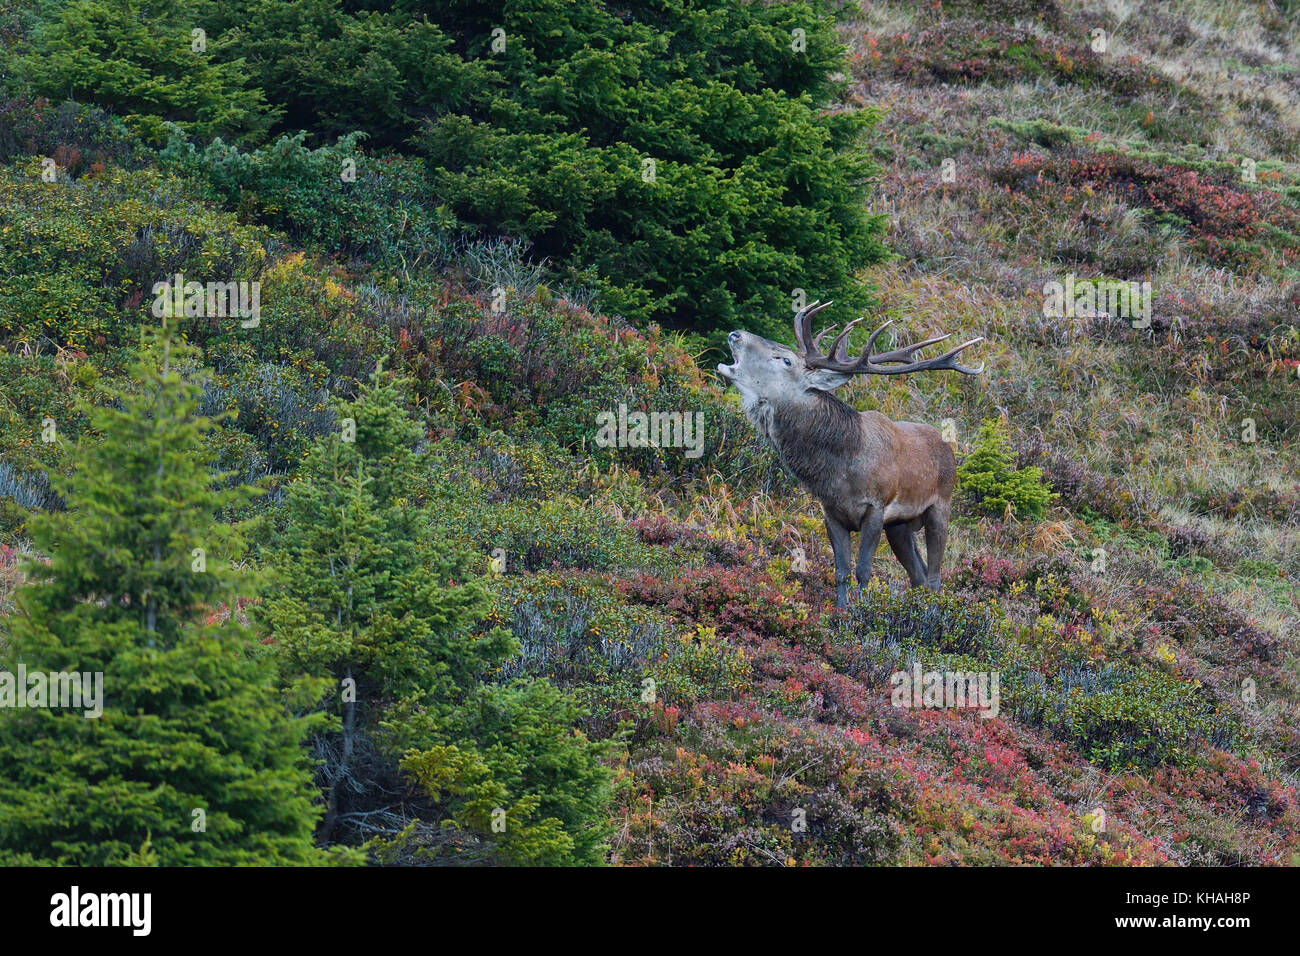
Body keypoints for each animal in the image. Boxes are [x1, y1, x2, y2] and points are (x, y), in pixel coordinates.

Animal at [716, 301, 983, 609]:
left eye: (785, 360)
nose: (736, 334)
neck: (839, 470)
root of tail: (948, 448)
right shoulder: (831, 512)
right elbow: (841, 571)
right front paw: (841, 612)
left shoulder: (876, 507)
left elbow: (863, 570)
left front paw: (863, 612)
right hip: (900, 526)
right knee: (919, 575)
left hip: (940, 506)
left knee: (935, 576)